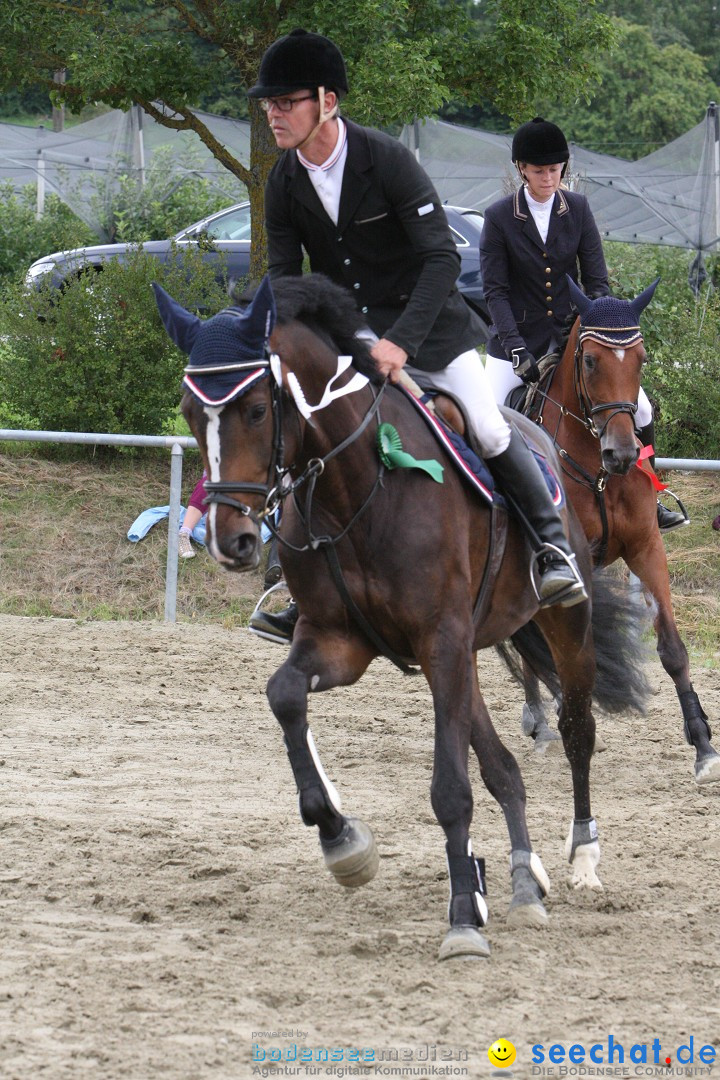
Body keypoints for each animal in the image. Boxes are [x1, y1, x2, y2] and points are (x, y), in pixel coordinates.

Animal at [155, 274, 651, 959]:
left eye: (256, 409)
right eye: (186, 412)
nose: (231, 541)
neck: (355, 486)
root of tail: (536, 432)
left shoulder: (439, 640)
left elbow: (450, 789)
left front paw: (464, 918)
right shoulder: (341, 640)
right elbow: (284, 694)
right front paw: (342, 839)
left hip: (558, 627)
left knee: (577, 729)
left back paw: (580, 857)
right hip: (464, 655)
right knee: (503, 767)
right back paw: (525, 879)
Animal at [520, 278, 716, 786]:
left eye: (642, 358)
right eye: (590, 360)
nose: (624, 454)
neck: (598, 470)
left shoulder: (646, 548)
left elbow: (672, 647)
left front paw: (704, 746)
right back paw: (539, 720)